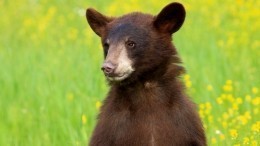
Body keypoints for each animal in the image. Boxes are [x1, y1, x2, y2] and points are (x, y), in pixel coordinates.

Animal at [86, 2, 206, 146]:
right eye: (106, 45)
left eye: (131, 43)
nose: (108, 67)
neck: (145, 91)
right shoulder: (110, 129)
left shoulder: (185, 126)